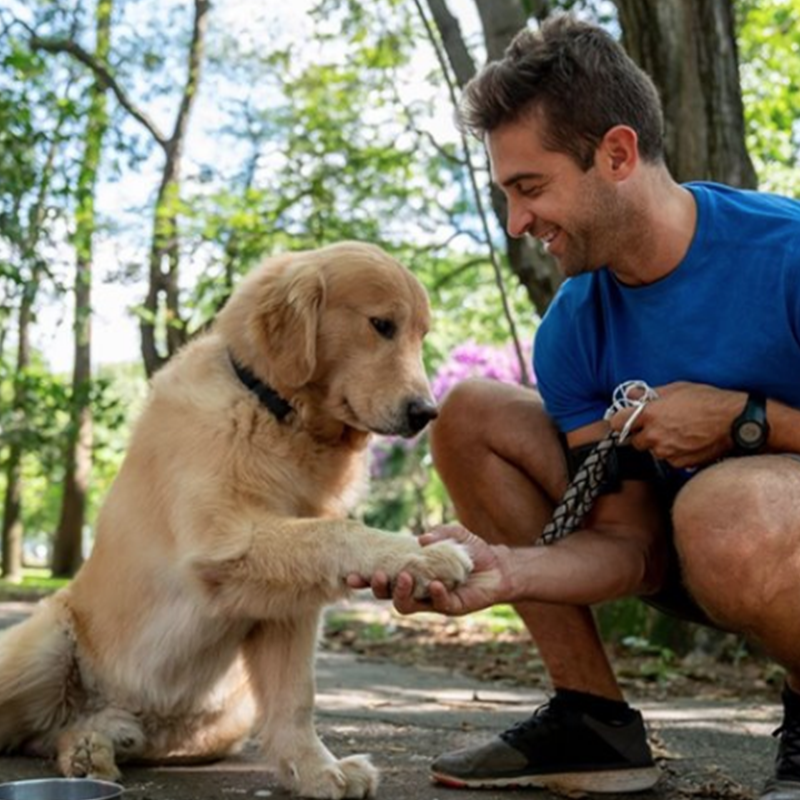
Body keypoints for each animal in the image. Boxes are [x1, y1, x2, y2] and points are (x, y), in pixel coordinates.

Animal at [0, 241, 472, 796]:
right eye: (381, 325)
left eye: (422, 334)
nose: (427, 412)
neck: (276, 411)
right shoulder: (220, 542)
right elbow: (336, 531)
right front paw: (424, 556)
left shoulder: (287, 604)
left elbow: (296, 699)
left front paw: (318, 770)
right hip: (41, 650)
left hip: (222, 719)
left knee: (61, 733)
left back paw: (94, 746)